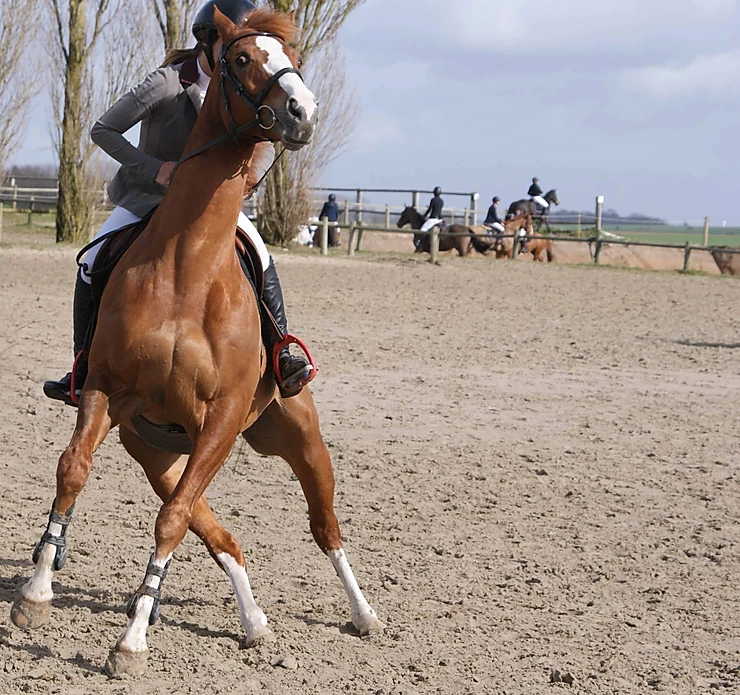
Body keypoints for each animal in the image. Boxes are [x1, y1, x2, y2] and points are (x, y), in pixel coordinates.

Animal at [10, 6, 382, 680]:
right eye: (240, 59)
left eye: (293, 58)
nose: (302, 112)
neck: (187, 268)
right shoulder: (104, 390)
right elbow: (74, 472)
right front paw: (36, 592)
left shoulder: (224, 419)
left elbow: (173, 521)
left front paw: (131, 643)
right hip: (157, 453)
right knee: (218, 532)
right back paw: (253, 622)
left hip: (296, 436)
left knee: (323, 527)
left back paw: (363, 614)